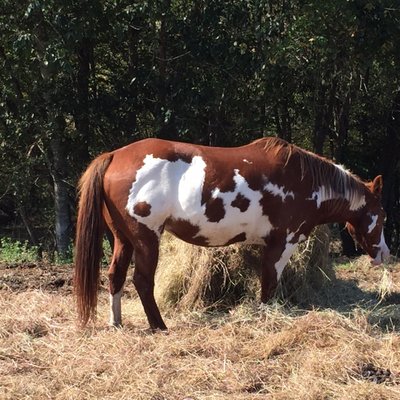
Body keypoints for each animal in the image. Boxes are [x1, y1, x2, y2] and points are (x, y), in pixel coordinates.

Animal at [75, 136, 390, 330]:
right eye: (383, 216)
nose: (384, 254)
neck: (303, 180)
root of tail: (114, 155)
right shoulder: (282, 243)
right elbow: (269, 284)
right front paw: (266, 317)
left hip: (123, 239)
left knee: (115, 276)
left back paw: (116, 323)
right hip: (145, 239)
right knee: (142, 281)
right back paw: (159, 326)